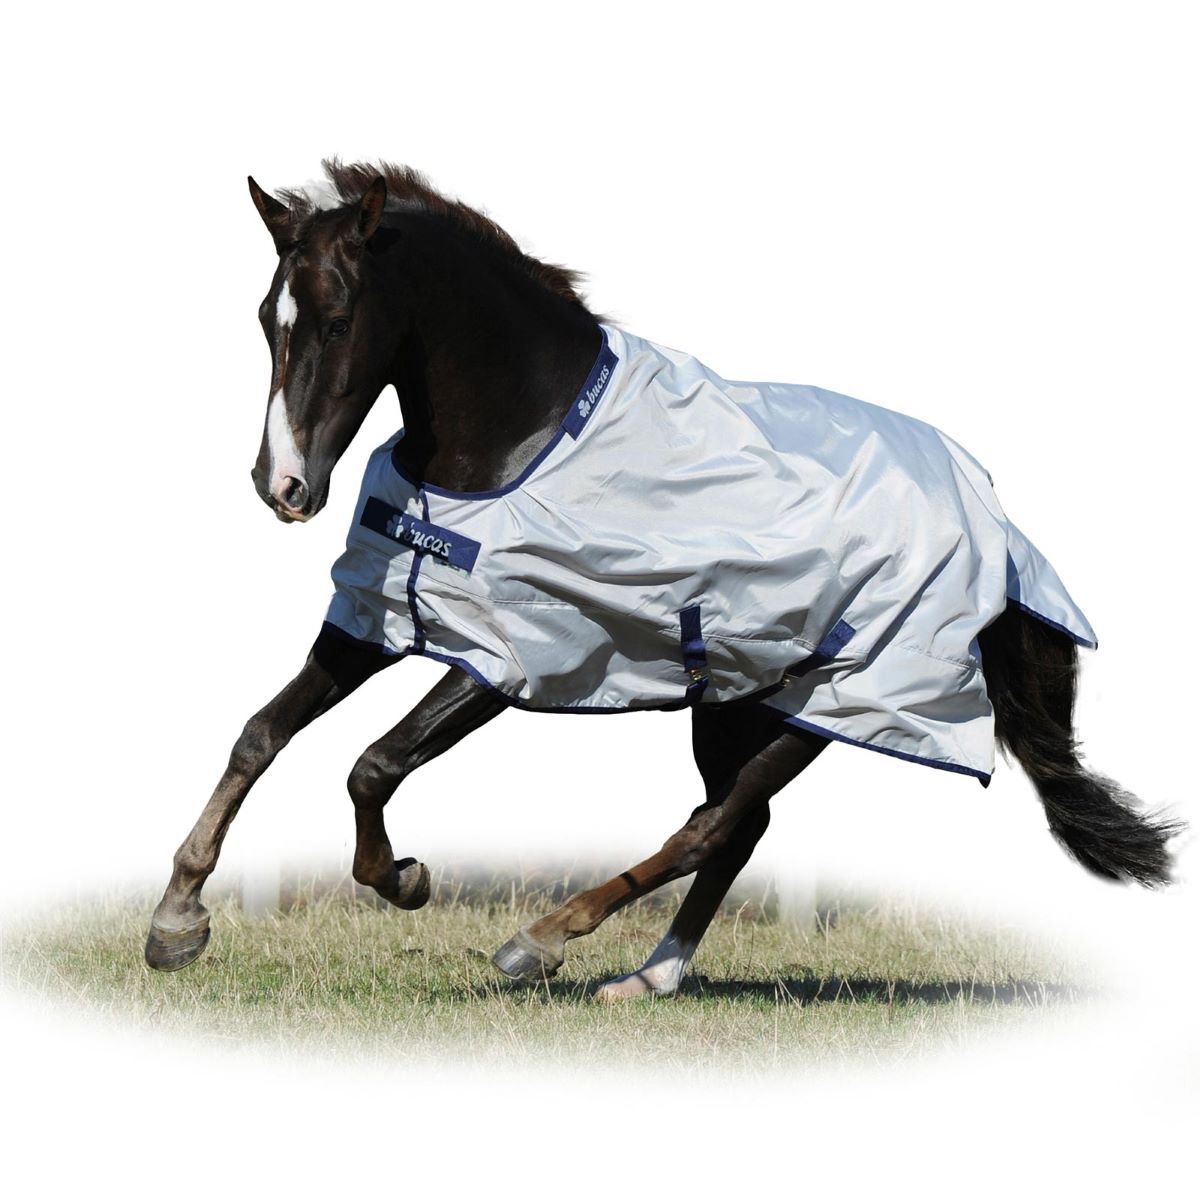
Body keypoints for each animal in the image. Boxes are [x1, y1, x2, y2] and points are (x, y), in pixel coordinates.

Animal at [145, 160, 1179, 1000]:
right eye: (265, 319)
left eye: (337, 320)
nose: (282, 487)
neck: (519, 435)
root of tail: (997, 526)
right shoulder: (379, 618)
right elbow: (259, 733)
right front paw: (176, 921)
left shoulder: (513, 659)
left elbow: (374, 764)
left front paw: (404, 879)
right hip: (733, 697)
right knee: (737, 823)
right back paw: (648, 976)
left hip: (834, 701)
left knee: (717, 824)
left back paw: (544, 941)